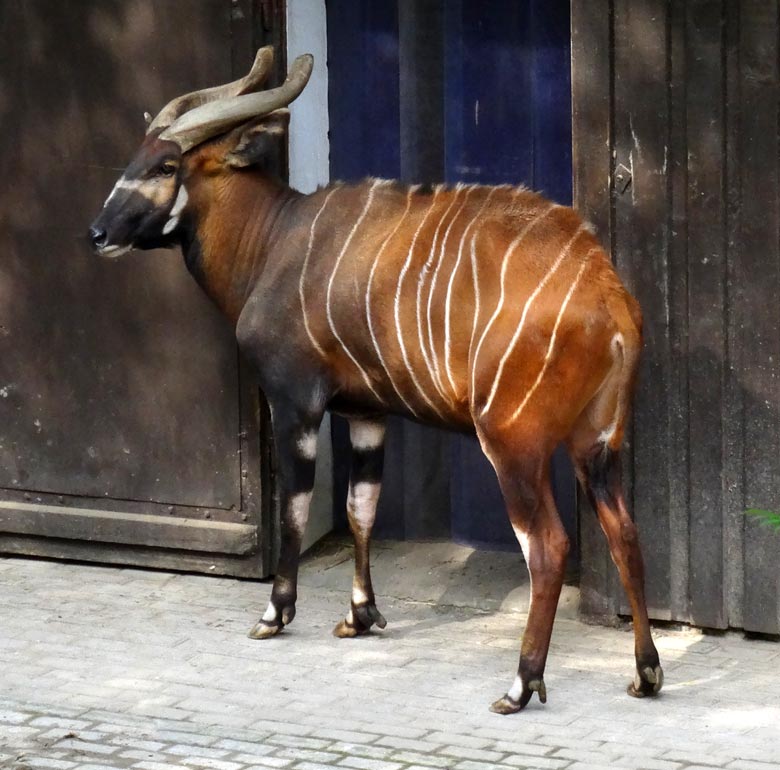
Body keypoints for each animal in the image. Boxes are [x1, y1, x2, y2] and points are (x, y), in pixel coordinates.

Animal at [90, 46, 664, 708]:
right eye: (135, 156)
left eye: (165, 165)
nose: (97, 234)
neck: (275, 239)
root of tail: (610, 295)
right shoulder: (368, 413)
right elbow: (361, 505)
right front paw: (359, 616)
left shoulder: (295, 403)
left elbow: (295, 505)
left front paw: (274, 614)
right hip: (597, 446)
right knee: (626, 534)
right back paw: (645, 673)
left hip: (513, 443)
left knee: (547, 547)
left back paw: (521, 684)